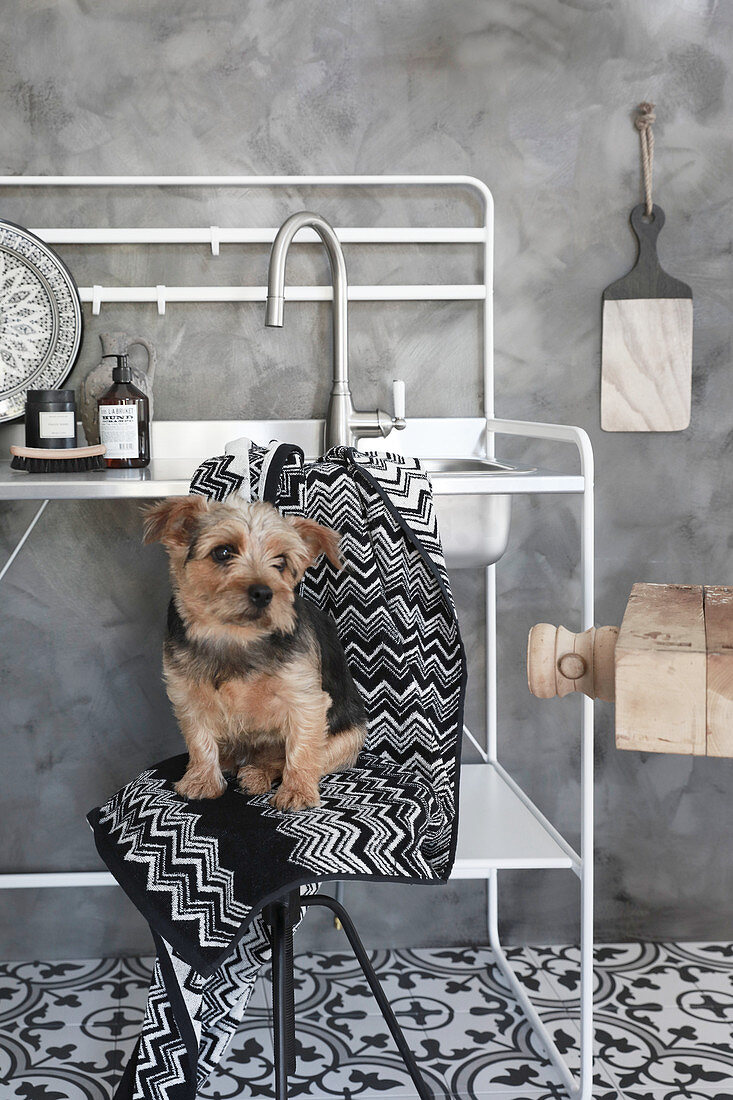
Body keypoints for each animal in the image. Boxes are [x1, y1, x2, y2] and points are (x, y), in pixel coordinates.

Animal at [144, 495, 365, 814]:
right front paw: (201, 780)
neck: (237, 636)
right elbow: (199, 739)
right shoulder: (187, 694)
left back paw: (257, 774)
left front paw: (297, 791)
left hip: (347, 739)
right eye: (223, 552)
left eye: (281, 562)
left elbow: (301, 747)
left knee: (286, 759)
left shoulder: (305, 700)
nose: (263, 592)